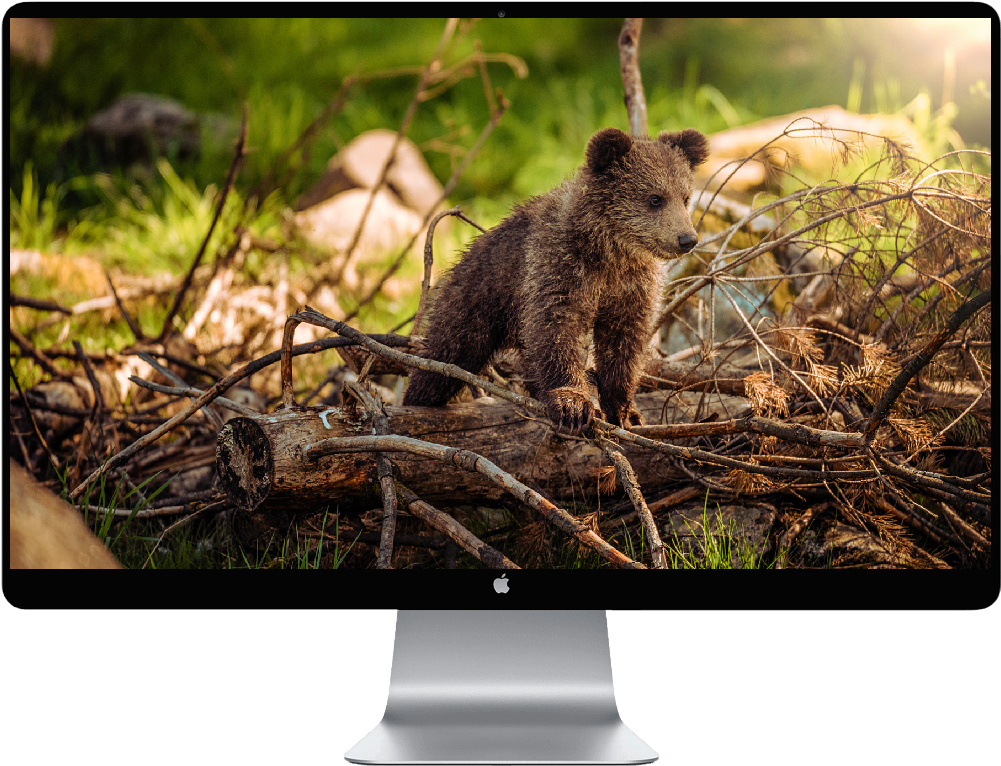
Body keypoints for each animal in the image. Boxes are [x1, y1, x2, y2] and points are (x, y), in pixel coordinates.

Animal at [403, 126, 710, 435]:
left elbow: (624, 342)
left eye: (685, 197)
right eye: (655, 198)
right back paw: (417, 400)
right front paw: (572, 404)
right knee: (445, 355)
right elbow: (556, 329)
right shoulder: (559, 267)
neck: (610, 252)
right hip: (477, 298)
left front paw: (625, 411)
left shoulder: (632, 286)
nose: (687, 239)